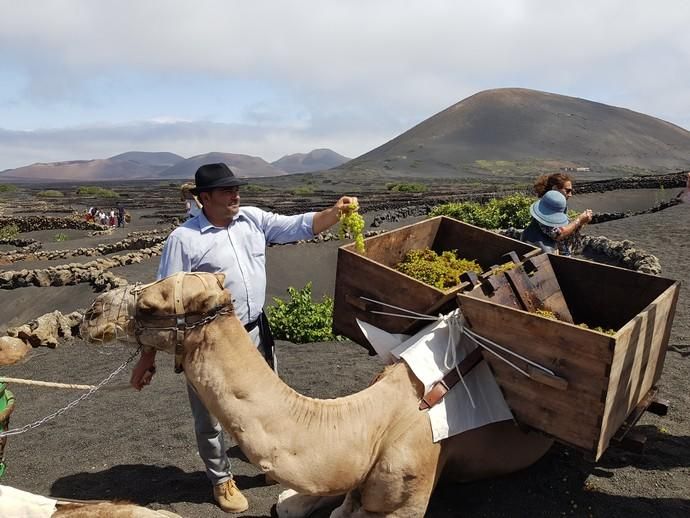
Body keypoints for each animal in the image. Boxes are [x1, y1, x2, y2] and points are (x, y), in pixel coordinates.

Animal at [82, 274, 552, 516]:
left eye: (150, 306)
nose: (90, 314)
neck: (368, 424)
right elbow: (306, 504)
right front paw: (294, 499)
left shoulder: (406, 499)